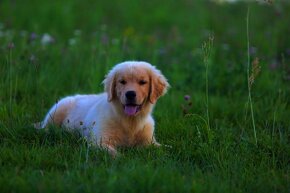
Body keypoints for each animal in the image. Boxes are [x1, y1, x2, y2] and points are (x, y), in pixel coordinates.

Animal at [39, 61, 169, 156]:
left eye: (142, 82)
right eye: (122, 82)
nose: (130, 94)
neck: (129, 120)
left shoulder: (149, 141)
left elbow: (163, 148)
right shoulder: (100, 141)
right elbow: (115, 155)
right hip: (56, 112)